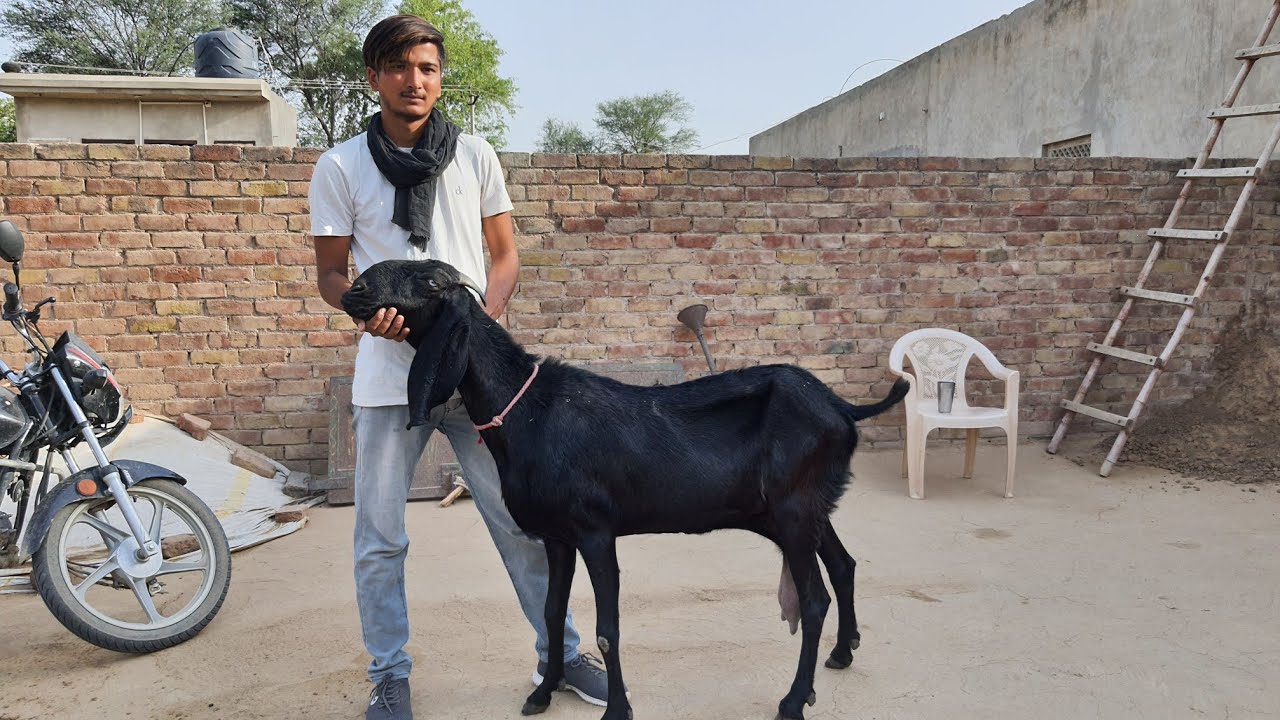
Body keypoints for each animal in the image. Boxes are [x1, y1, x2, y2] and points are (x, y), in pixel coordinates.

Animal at [341, 259, 908, 720]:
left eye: (430, 282)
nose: (356, 288)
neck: (529, 411)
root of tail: (843, 408)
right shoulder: (557, 536)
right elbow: (551, 612)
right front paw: (544, 693)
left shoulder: (596, 533)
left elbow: (607, 630)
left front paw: (618, 709)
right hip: (804, 509)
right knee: (843, 565)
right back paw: (842, 653)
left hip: (793, 512)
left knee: (813, 600)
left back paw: (793, 700)